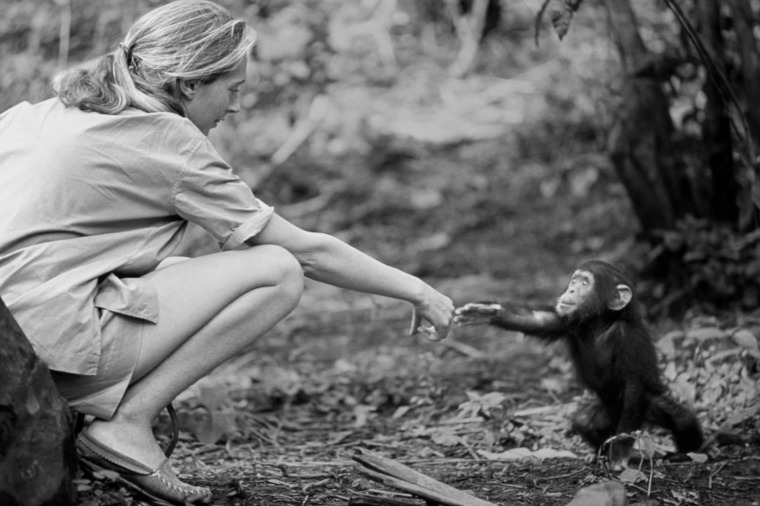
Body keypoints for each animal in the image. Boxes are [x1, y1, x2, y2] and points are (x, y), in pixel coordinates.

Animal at [453, 260, 704, 470]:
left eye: (585, 283)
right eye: (574, 280)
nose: (571, 290)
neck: (600, 323)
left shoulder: (630, 340)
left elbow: (634, 387)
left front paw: (620, 454)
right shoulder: (566, 320)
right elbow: (536, 320)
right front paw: (485, 312)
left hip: (645, 409)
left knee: (681, 420)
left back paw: (686, 453)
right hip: (608, 415)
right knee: (585, 422)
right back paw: (598, 453)